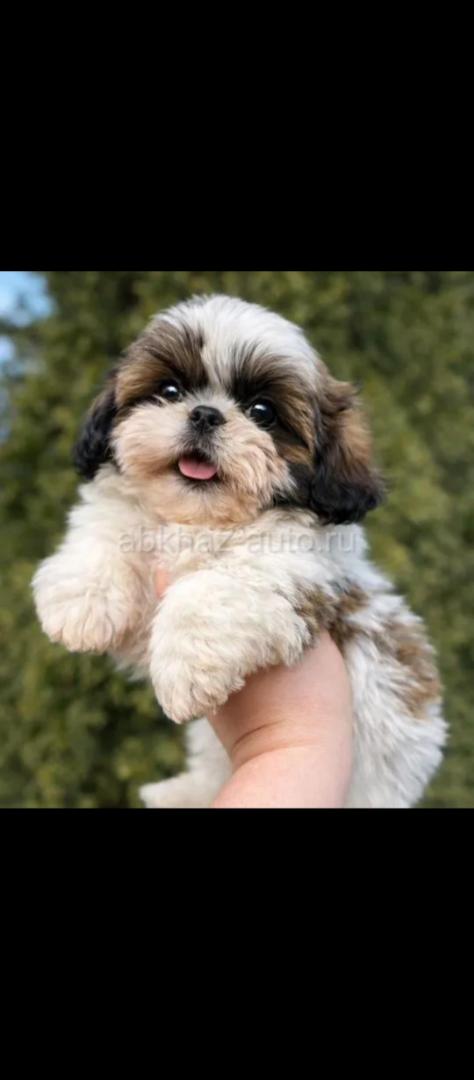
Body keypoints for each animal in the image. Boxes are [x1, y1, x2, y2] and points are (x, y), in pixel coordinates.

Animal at [32, 294, 446, 808]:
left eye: (262, 411)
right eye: (170, 390)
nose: (205, 414)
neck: (202, 520)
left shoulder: (292, 568)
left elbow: (213, 591)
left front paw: (186, 668)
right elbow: (107, 526)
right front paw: (81, 601)